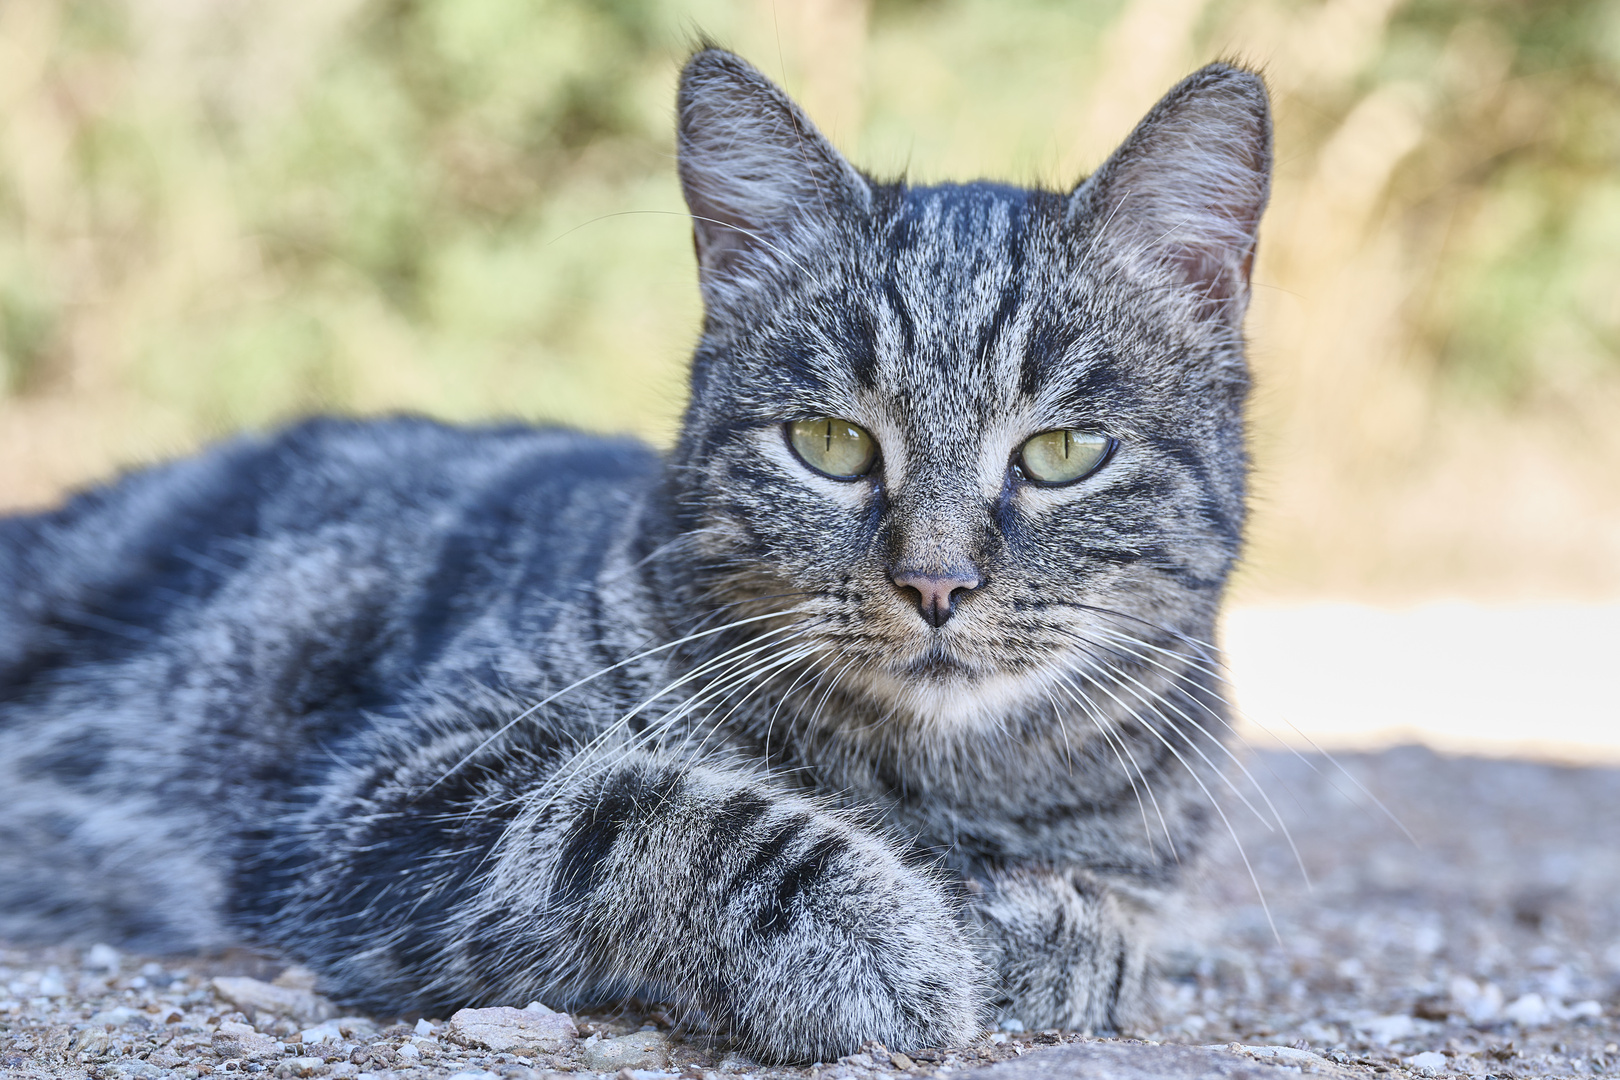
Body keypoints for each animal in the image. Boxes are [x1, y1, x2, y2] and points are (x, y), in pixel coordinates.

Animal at [0, 48, 1263, 1062]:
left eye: (1061, 452)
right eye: (830, 443)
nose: (936, 582)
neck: (931, 787)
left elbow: (1117, 933)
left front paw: (1030, 926)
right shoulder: (387, 798)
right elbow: (647, 813)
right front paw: (897, 932)